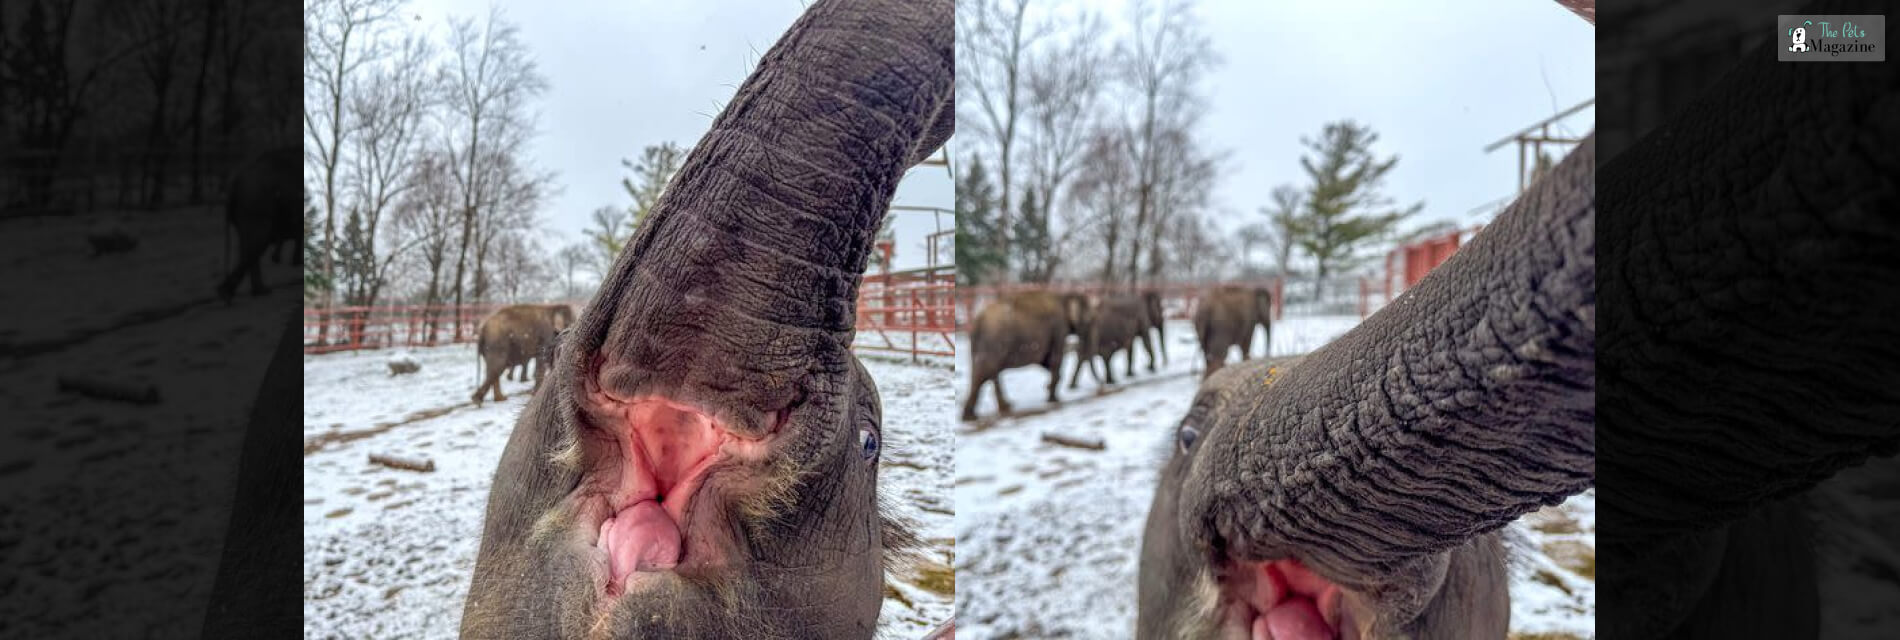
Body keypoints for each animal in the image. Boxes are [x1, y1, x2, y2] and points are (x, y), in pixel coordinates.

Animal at [216, 146, 300, 300]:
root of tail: (235, 181)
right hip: (256, 204)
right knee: (257, 242)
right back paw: (227, 293)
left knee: (250, 245)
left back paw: (258, 291)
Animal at [965, 290, 1102, 421]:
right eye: (1090, 320)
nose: (1101, 384)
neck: (1064, 297)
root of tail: (978, 322)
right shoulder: (1059, 328)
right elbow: (1055, 359)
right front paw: (1053, 399)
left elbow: (1045, 362)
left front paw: (1047, 387)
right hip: (994, 343)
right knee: (985, 373)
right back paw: (974, 416)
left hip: (982, 347)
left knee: (987, 373)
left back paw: (994, 410)